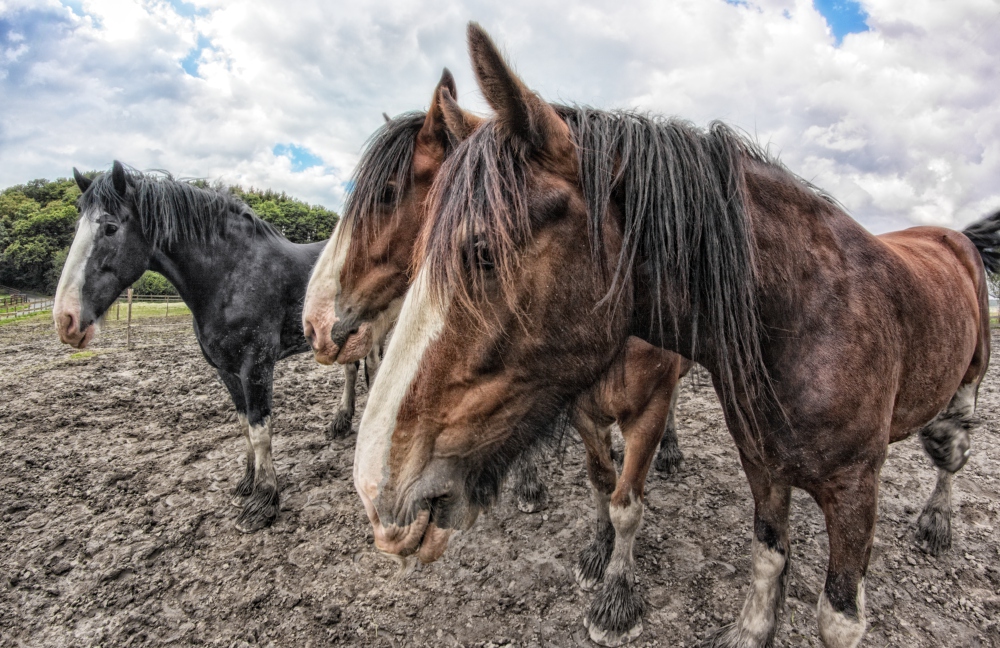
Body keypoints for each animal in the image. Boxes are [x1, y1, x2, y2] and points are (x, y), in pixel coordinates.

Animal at [51, 165, 378, 536]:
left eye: (110, 227)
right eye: (77, 226)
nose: (65, 319)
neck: (232, 274)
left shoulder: (256, 366)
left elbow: (260, 430)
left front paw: (263, 502)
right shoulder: (226, 369)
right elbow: (244, 426)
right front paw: (246, 485)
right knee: (355, 369)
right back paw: (343, 422)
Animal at [356, 24, 996, 648]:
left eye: (483, 253)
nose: (378, 487)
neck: (808, 319)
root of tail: (956, 238)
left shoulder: (854, 487)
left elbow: (834, 616)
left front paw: (615, 600)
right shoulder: (756, 463)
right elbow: (756, 552)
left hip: (966, 385)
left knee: (953, 450)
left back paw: (937, 520)